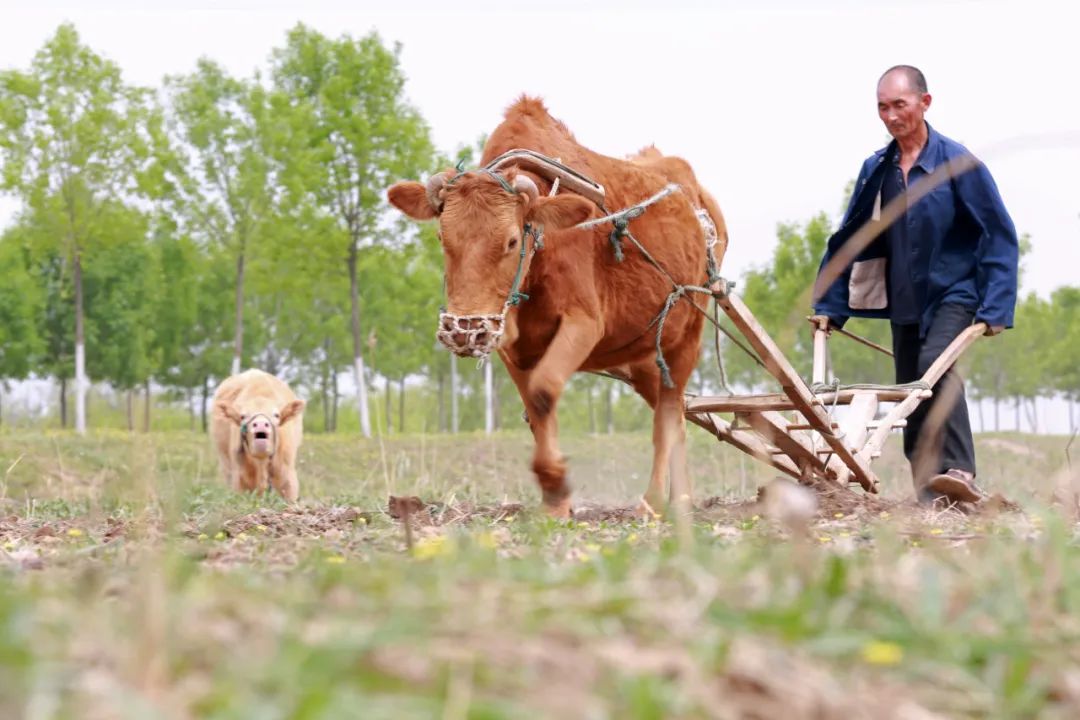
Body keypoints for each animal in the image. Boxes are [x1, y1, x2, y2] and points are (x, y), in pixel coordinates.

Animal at [388, 96, 727, 518]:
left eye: (512, 241)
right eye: (441, 237)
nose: (465, 330)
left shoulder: (584, 324)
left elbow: (544, 391)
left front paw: (555, 481)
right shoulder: (511, 343)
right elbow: (535, 407)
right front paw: (554, 500)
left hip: (687, 335)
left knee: (666, 413)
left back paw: (656, 501)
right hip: (645, 357)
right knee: (676, 413)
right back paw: (681, 496)